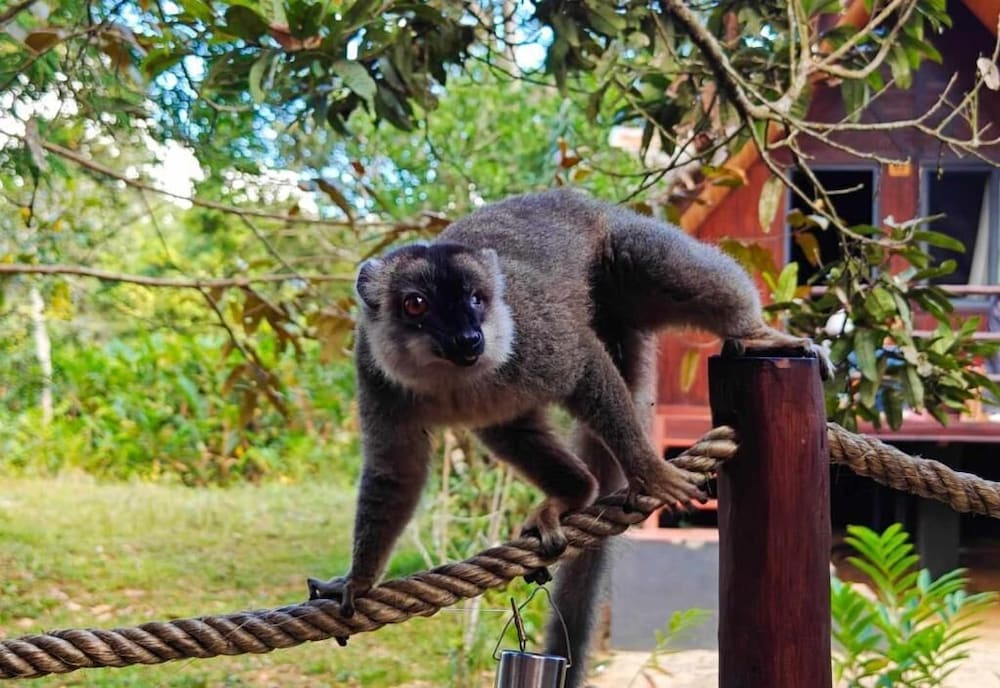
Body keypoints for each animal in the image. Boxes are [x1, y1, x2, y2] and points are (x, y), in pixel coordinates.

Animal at [308, 188, 825, 688]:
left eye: (476, 299)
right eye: (416, 304)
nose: (469, 339)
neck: (449, 376)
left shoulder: (534, 334)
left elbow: (584, 366)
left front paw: (648, 469)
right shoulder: (375, 372)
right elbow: (396, 470)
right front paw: (358, 581)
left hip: (619, 260)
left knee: (656, 261)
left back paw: (753, 331)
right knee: (503, 426)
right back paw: (575, 492)